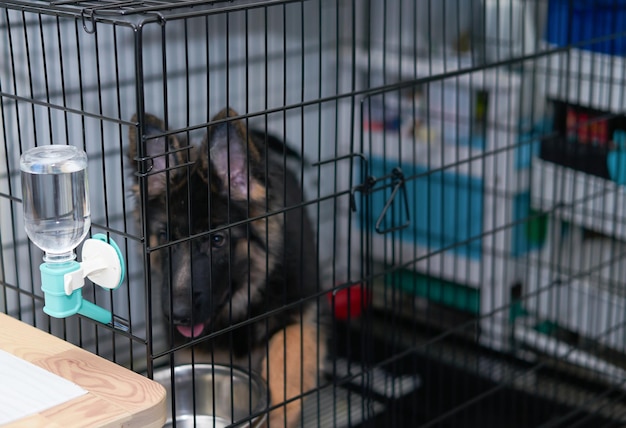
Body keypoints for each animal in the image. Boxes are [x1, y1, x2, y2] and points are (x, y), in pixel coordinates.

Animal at [126, 108, 322, 426]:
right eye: (165, 237)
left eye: (217, 240)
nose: (177, 315)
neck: (243, 300)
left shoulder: (303, 309)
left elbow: (286, 356)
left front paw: (279, 413)